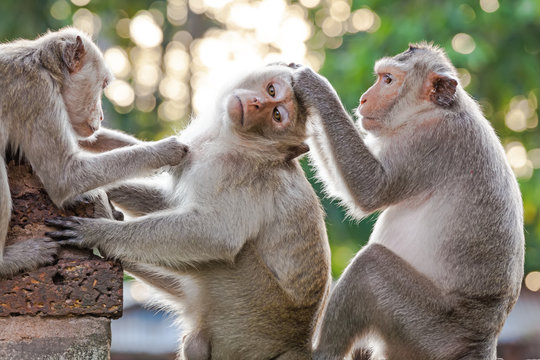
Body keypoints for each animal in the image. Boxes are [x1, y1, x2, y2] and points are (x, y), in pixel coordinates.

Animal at [0, 28, 190, 278]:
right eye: (103, 84)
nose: (100, 116)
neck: (46, 68)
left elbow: (90, 141)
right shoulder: (35, 93)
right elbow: (64, 176)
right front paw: (165, 151)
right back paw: (8, 261)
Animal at [46, 63, 334, 358]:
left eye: (277, 115)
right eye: (272, 91)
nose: (256, 103)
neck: (239, 141)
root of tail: (298, 343)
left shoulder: (238, 174)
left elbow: (217, 233)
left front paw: (98, 231)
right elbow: (170, 201)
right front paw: (104, 186)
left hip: (252, 318)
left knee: (229, 253)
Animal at [294, 43, 524, 358]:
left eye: (389, 80)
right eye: (381, 77)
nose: (364, 98)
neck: (431, 110)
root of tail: (482, 340)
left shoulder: (429, 140)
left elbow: (371, 189)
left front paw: (314, 86)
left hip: (428, 331)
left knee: (369, 266)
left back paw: (322, 351)